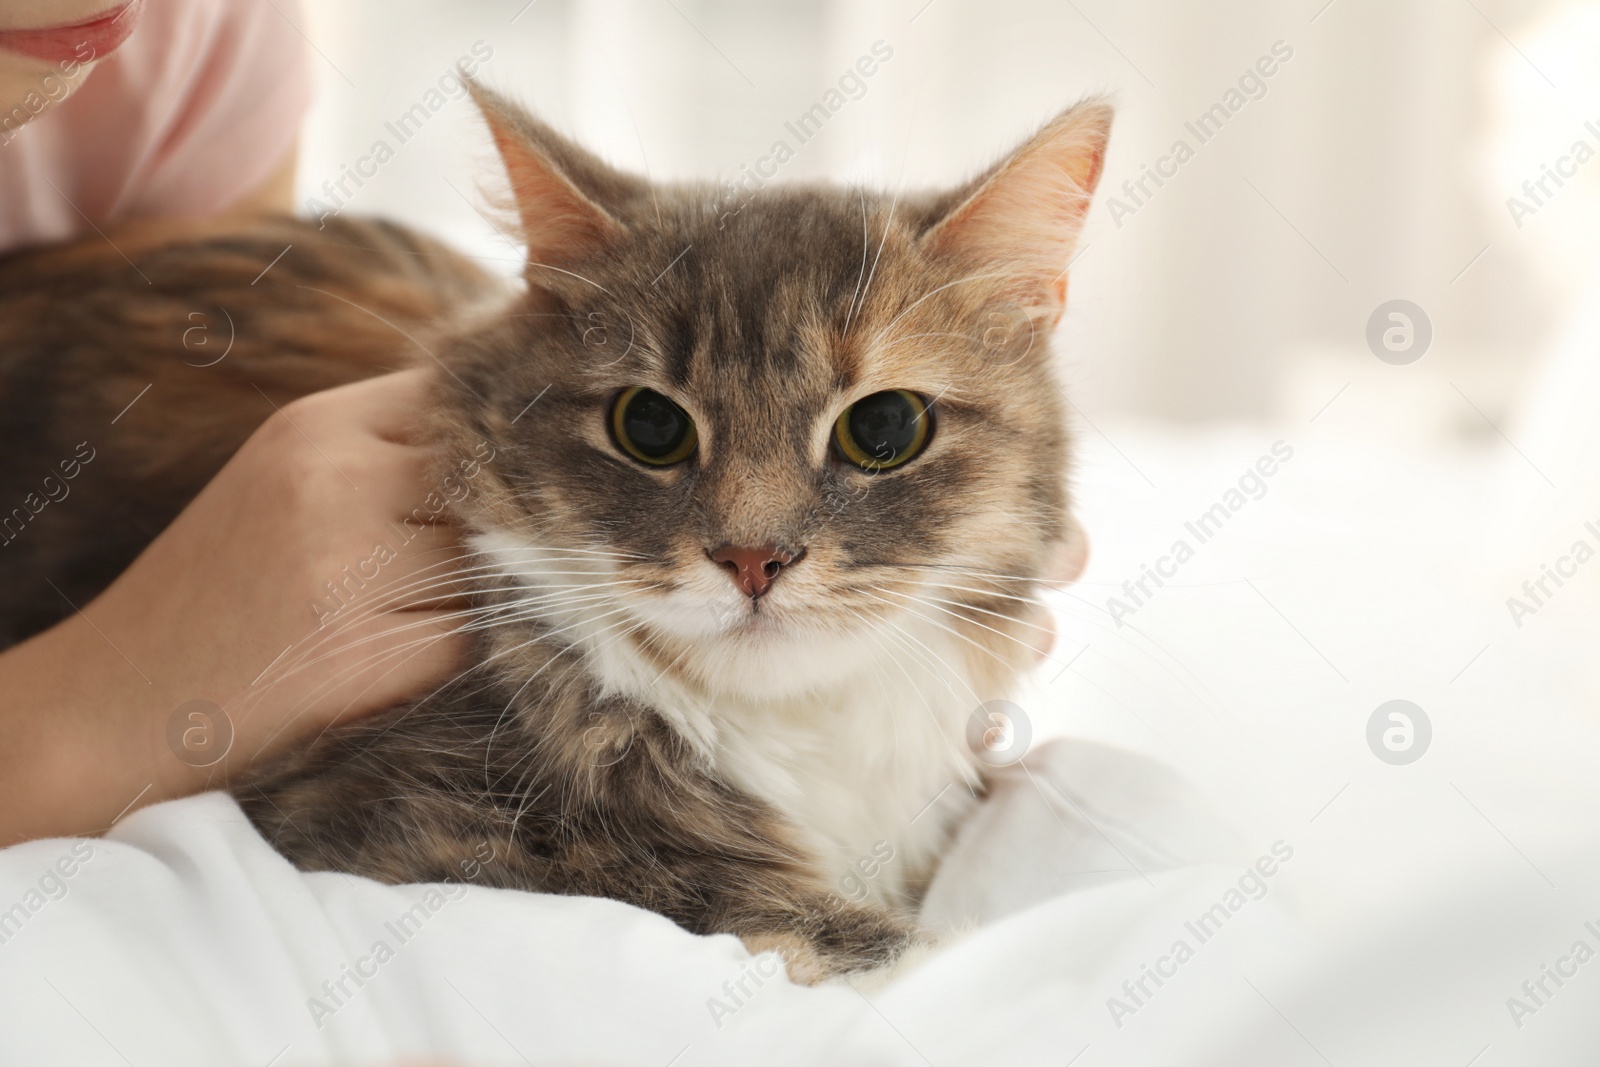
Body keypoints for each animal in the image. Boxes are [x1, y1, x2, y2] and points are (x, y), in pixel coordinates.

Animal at [0, 85, 1107, 985]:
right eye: (649, 426)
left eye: (882, 431)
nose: (752, 558)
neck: (793, 732)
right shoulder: (379, 821)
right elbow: (831, 924)